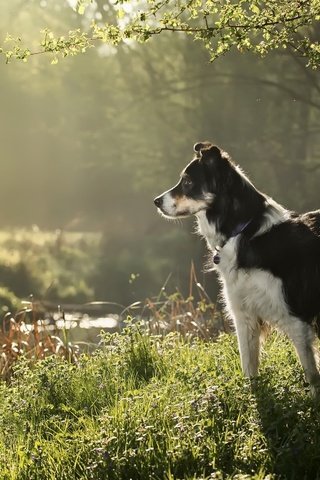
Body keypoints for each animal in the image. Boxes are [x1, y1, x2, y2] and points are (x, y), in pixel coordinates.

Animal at [153, 141, 320, 396]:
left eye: (188, 182)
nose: (156, 201)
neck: (244, 231)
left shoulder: (296, 319)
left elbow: (312, 376)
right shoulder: (244, 316)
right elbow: (249, 368)